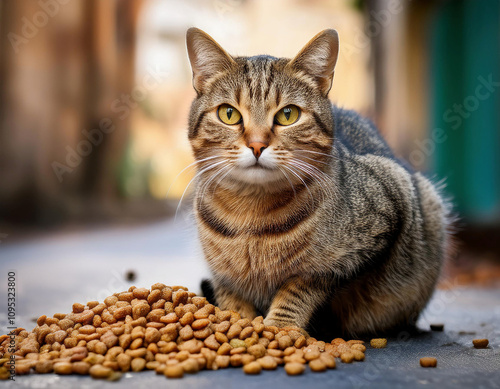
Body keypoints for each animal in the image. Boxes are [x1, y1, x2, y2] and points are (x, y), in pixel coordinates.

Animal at [185, 27, 454, 336]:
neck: (250, 217)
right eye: (228, 114)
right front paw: (235, 322)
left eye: (288, 114)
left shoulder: (367, 236)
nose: (256, 145)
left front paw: (280, 327)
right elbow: (230, 297)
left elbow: (299, 287)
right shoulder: (221, 274)